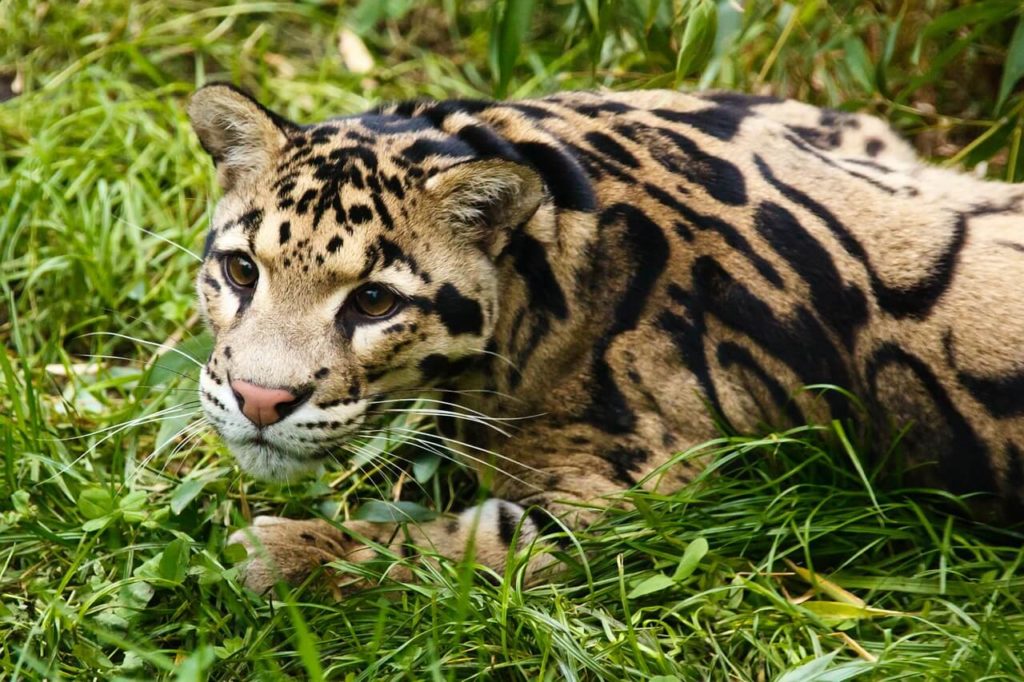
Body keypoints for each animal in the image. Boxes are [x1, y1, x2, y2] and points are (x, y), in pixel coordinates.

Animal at [187, 83, 1024, 595]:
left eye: (373, 302)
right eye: (240, 270)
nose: (260, 399)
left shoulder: (643, 495)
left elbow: (454, 548)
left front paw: (284, 554)